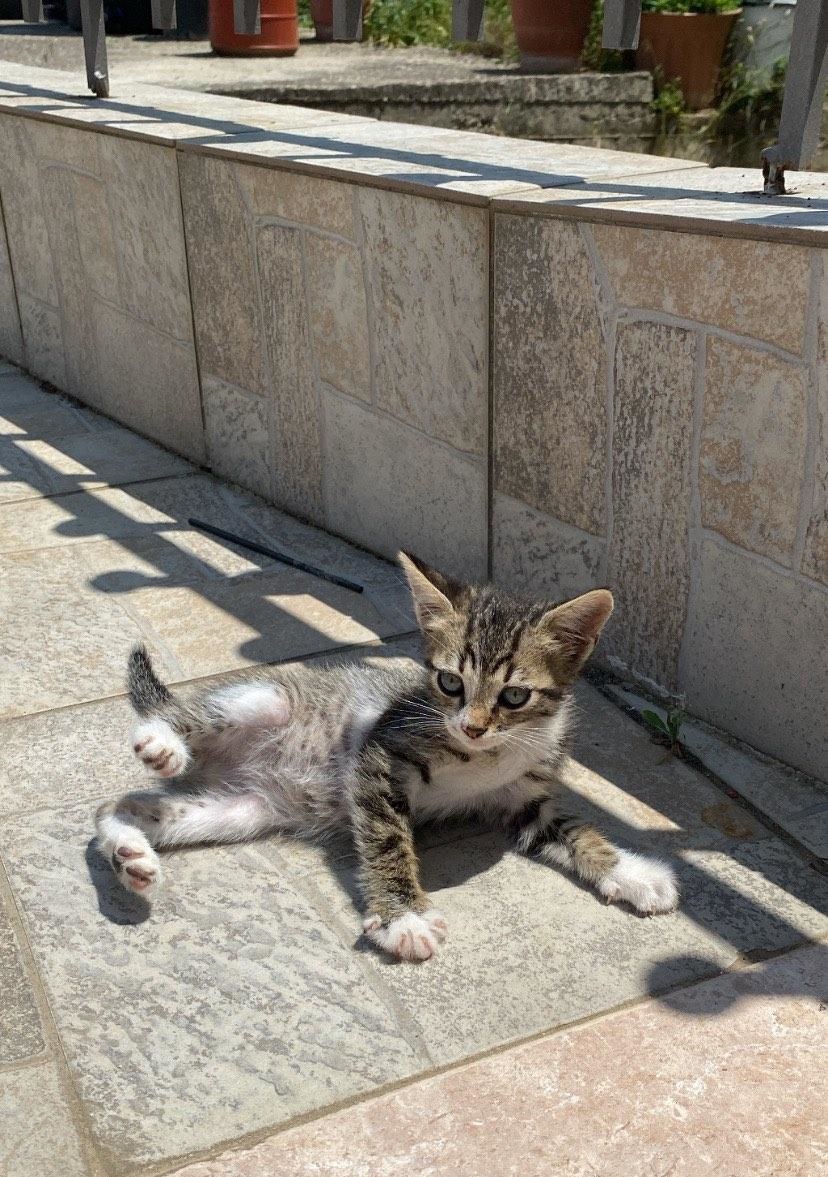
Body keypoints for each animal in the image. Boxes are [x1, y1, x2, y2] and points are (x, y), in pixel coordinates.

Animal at [95, 552, 679, 961]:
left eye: (515, 696)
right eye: (449, 682)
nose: (471, 726)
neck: (488, 756)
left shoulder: (525, 796)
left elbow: (575, 829)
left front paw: (630, 870)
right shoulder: (379, 753)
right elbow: (386, 837)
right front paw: (403, 917)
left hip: (241, 811)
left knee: (117, 806)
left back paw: (129, 851)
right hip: (266, 699)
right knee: (185, 716)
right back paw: (162, 742)